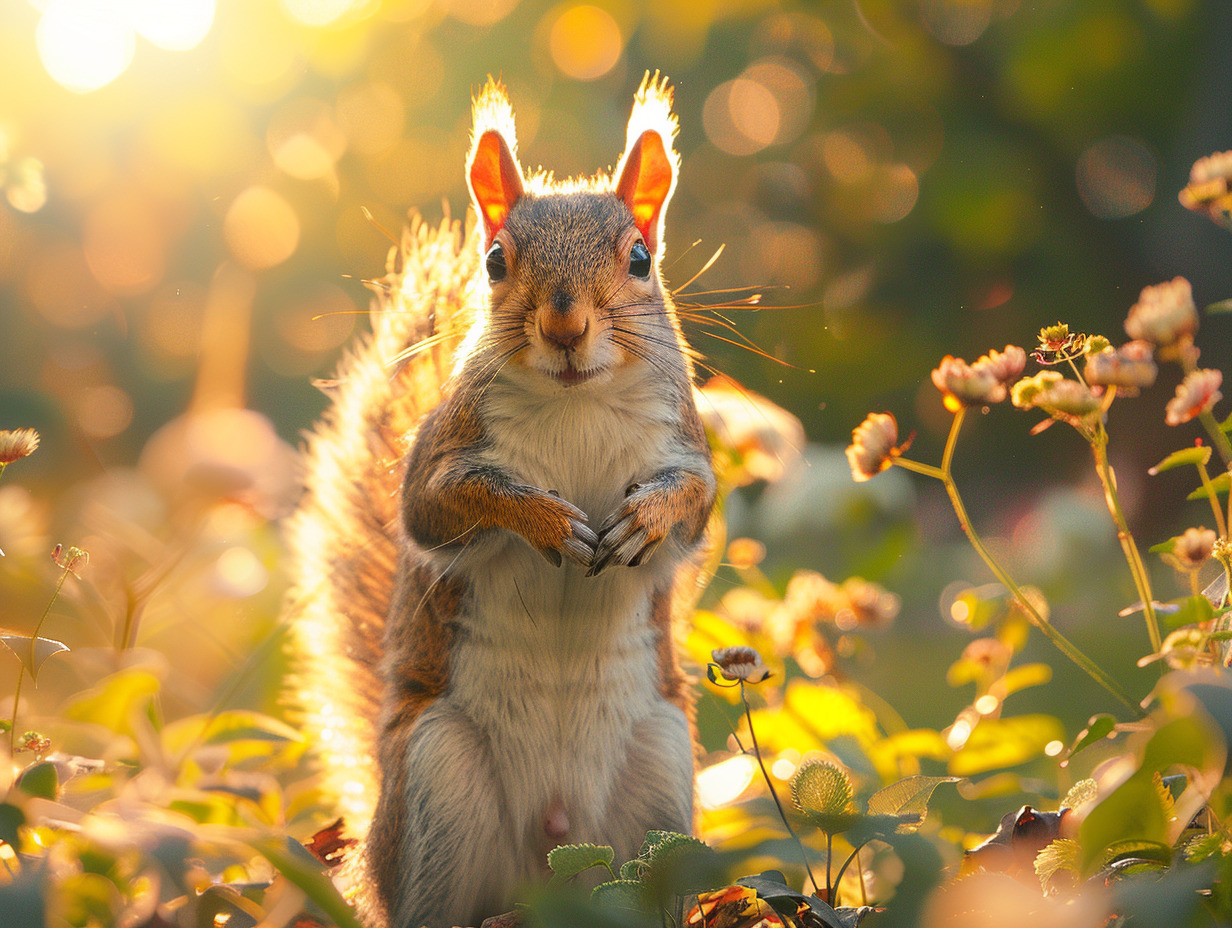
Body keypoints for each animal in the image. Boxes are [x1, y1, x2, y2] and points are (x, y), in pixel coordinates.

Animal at [282, 74, 719, 926]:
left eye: (641, 258)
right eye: (493, 261)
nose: (565, 324)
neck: (576, 401)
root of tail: (548, 867)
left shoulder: (685, 444)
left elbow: (695, 502)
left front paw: (644, 520)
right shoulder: (441, 453)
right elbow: (439, 505)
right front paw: (544, 520)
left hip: (659, 780)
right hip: (438, 783)